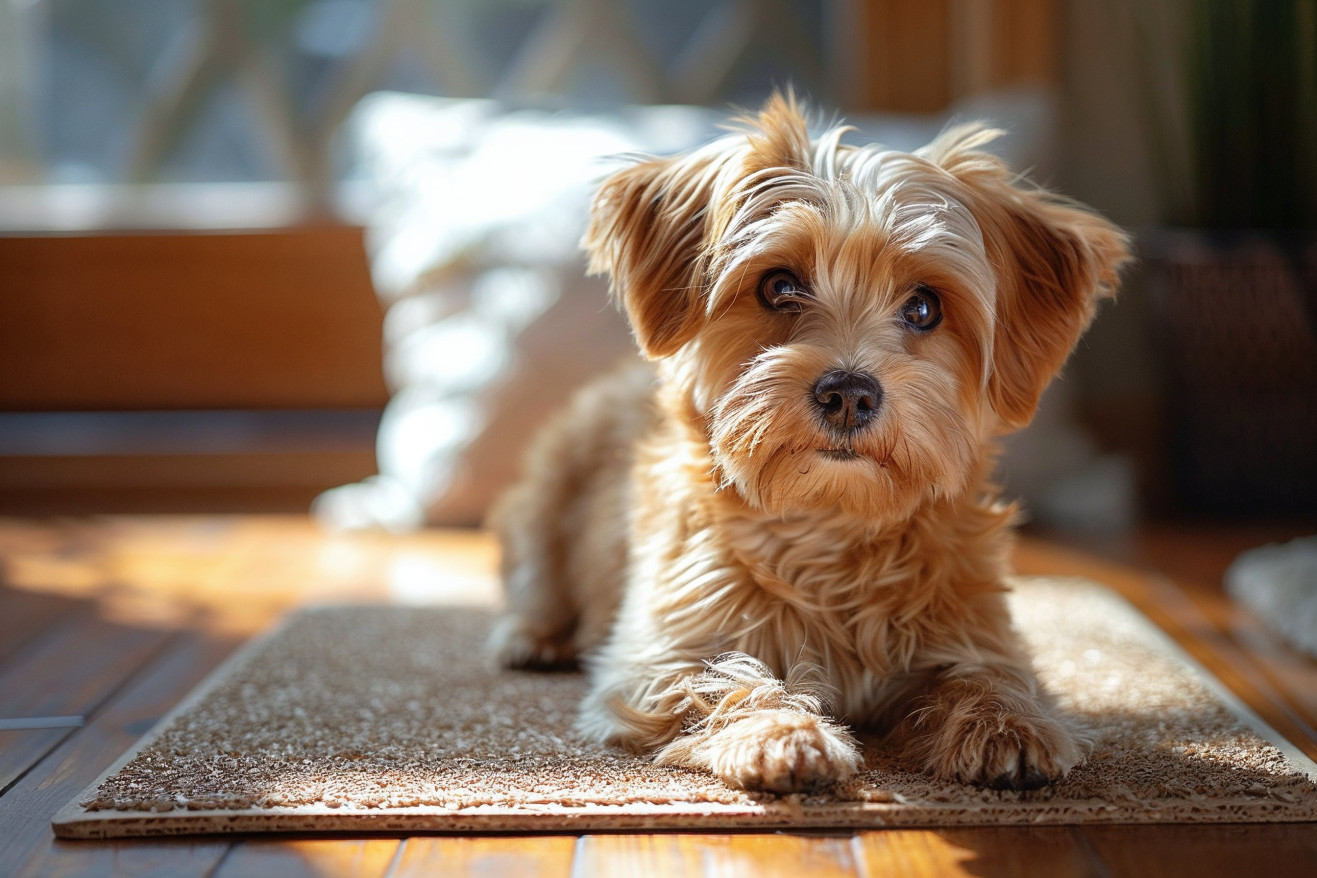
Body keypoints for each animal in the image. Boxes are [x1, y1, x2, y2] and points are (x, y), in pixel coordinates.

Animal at [489, 96, 1127, 795]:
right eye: (778, 285)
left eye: (925, 307)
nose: (849, 392)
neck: (830, 529)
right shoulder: (663, 652)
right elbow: (728, 680)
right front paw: (783, 735)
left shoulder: (980, 631)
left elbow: (989, 676)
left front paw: (1007, 725)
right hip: (545, 495)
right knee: (537, 580)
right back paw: (531, 638)